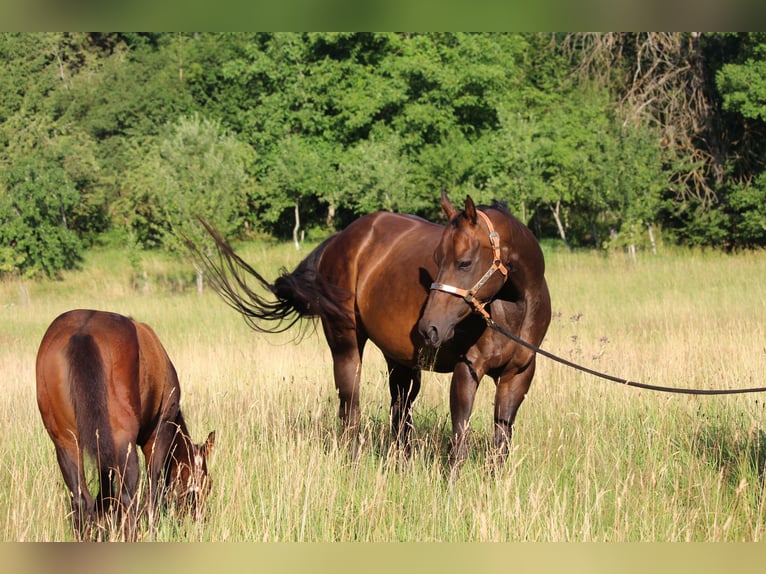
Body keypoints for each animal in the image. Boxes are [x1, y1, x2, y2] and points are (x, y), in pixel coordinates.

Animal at [36, 309, 216, 540]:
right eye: (207, 484)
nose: (200, 521)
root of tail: (82, 333)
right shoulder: (158, 435)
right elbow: (153, 489)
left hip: (66, 443)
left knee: (81, 499)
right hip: (123, 443)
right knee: (128, 497)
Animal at [192, 191, 550, 472]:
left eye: (464, 262)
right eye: (437, 258)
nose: (430, 328)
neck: (514, 307)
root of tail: (341, 239)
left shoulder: (518, 375)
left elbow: (501, 440)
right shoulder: (467, 370)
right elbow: (459, 437)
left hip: (401, 360)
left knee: (400, 413)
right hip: (346, 346)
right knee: (351, 411)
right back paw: (352, 465)